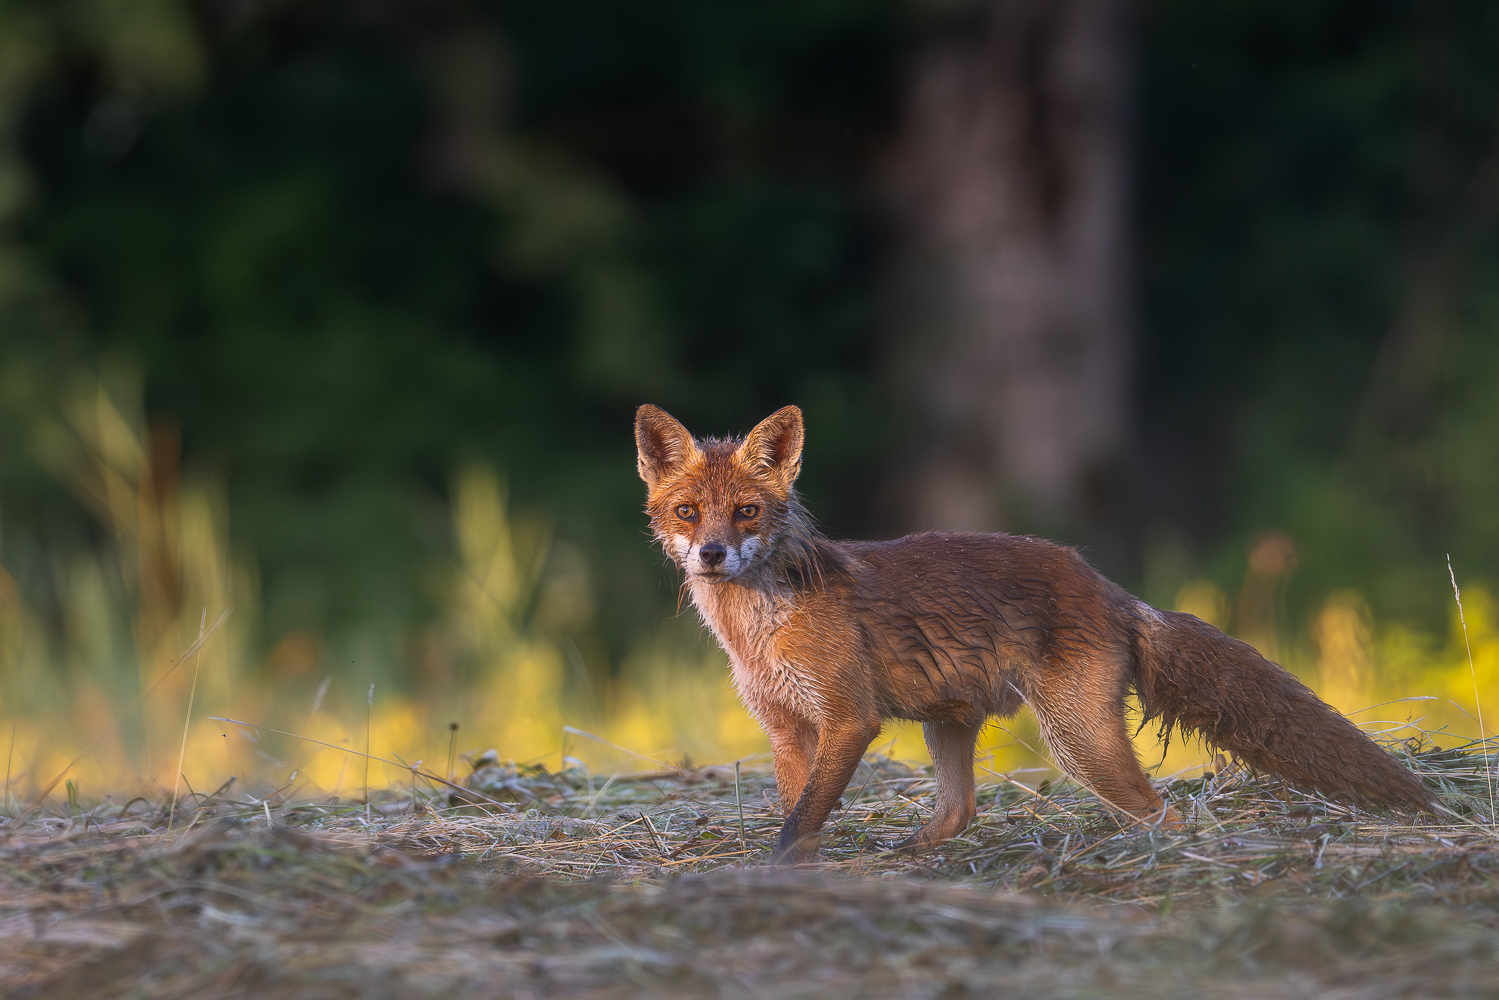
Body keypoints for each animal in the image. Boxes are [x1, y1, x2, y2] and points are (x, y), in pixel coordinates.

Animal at [629, 401, 1427, 863]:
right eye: (688, 512)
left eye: (747, 512)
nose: (711, 554)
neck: (758, 628)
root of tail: (1106, 585)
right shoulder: (789, 727)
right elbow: (803, 816)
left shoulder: (848, 719)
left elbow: (799, 820)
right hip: (948, 721)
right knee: (960, 810)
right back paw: (911, 852)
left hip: (1076, 741)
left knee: (1165, 814)